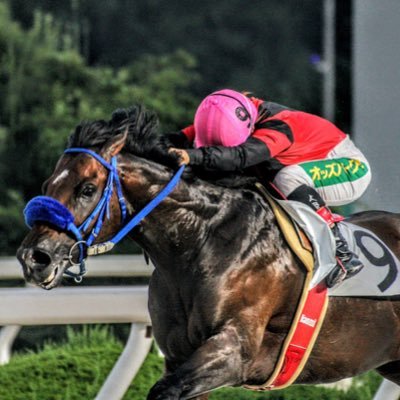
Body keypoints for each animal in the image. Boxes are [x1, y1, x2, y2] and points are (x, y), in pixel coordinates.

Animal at [17, 106, 400, 400]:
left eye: (87, 188)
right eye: (47, 185)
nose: (34, 257)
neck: (200, 242)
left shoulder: (234, 350)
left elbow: (163, 391)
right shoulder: (180, 356)